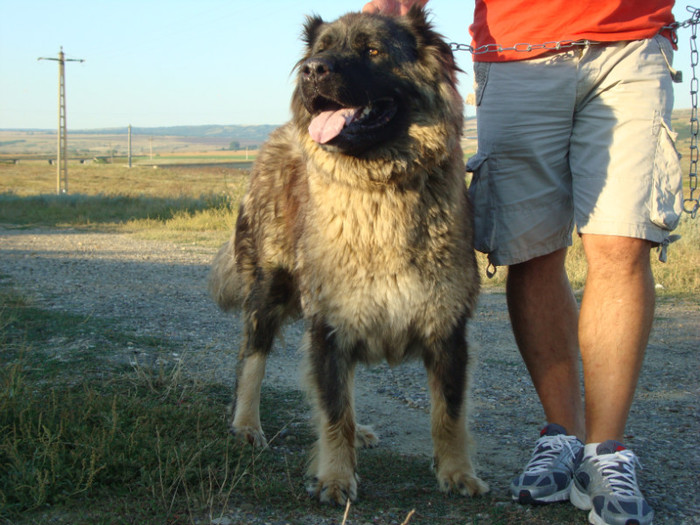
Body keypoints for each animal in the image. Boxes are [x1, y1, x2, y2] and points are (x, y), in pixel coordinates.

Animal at [211, 7, 490, 504]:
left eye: (372, 51)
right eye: (321, 50)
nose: (312, 70)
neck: (380, 187)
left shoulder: (446, 329)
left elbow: (449, 413)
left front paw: (458, 472)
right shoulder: (329, 327)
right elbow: (333, 410)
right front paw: (336, 477)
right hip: (269, 288)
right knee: (251, 358)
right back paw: (246, 425)